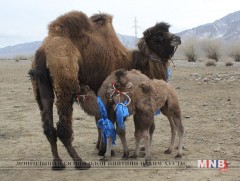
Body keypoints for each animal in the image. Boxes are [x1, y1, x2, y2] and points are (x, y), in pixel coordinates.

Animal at [29, 10, 181, 170]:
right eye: (158, 36)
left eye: (167, 31)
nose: (177, 38)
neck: (130, 60)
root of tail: (43, 51)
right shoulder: (111, 93)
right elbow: (108, 121)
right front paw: (106, 150)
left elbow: (99, 120)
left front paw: (100, 147)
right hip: (65, 79)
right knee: (63, 127)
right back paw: (80, 162)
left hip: (41, 85)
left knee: (47, 124)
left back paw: (57, 162)